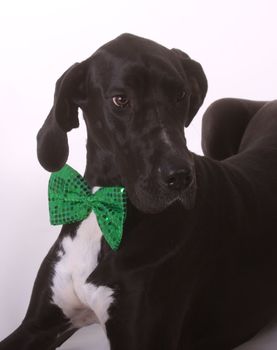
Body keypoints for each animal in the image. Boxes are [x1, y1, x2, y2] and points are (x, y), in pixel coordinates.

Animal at [0, 33, 276, 350]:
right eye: (120, 99)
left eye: (180, 95)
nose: (180, 177)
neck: (103, 208)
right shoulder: (36, 325)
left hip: (217, 110)